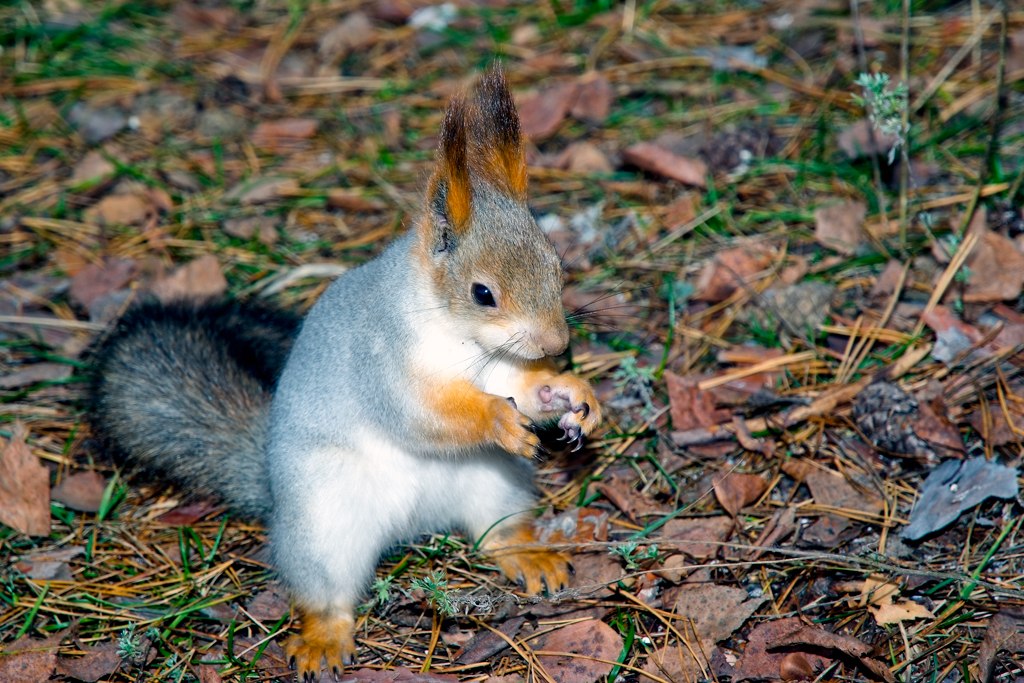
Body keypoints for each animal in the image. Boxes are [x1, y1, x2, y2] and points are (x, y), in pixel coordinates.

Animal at [90, 66, 598, 679]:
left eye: (557, 267)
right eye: (483, 294)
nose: (557, 343)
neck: (463, 341)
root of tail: (415, 522)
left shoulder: (503, 367)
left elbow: (523, 388)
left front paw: (572, 394)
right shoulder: (381, 359)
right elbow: (420, 416)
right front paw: (497, 421)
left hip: (494, 485)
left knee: (494, 532)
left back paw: (527, 554)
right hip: (323, 523)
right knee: (325, 589)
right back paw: (324, 639)